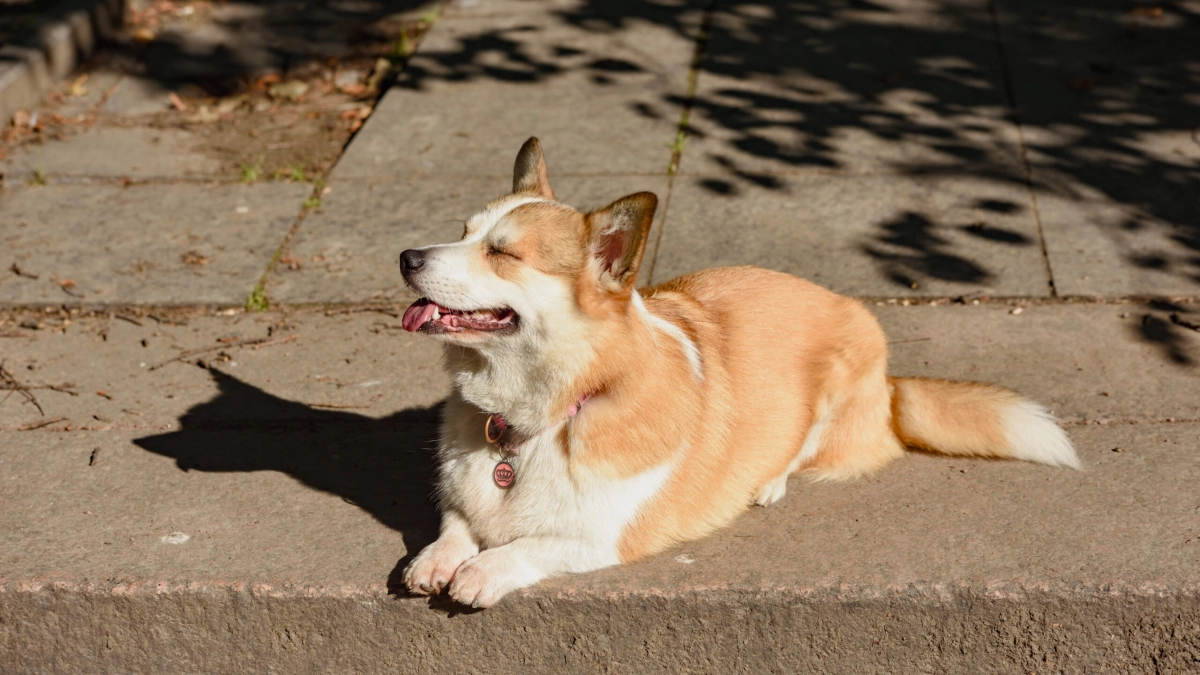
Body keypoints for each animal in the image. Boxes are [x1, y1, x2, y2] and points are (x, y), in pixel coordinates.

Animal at [398, 136, 1084, 605]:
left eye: (502, 253)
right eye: (463, 233)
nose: (406, 256)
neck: (541, 413)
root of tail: (892, 388)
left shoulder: (606, 534)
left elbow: (531, 544)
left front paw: (483, 571)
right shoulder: (467, 498)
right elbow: (458, 522)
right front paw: (437, 559)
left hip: (837, 387)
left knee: (803, 450)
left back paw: (769, 481)